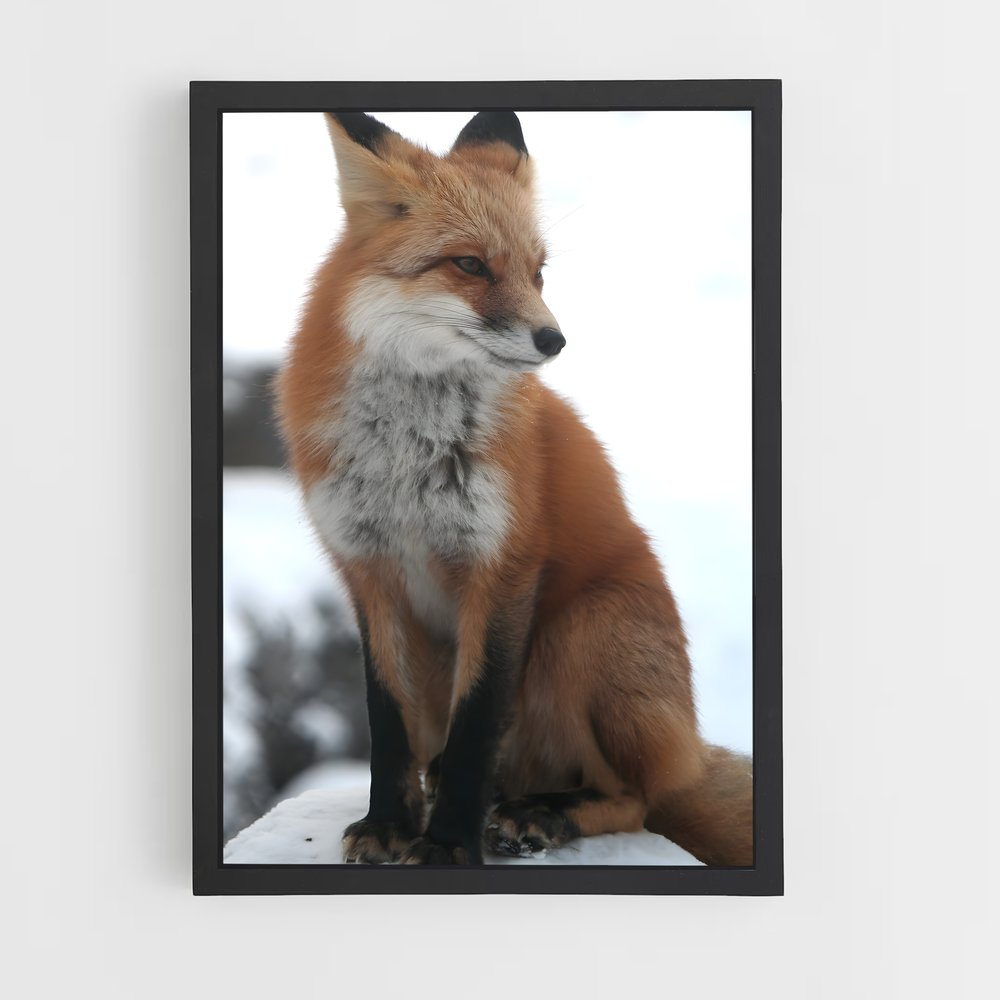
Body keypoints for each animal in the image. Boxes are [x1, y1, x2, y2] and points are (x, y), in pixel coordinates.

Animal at [275, 110, 753, 866]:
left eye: (539, 272)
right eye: (470, 264)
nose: (554, 339)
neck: (408, 460)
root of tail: (689, 751)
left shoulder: (501, 568)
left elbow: (476, 728)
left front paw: (446, 847)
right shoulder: (369, 571)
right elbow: (388, 723)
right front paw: (390, 825)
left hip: (581, 630)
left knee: (634, 797)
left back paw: (540, 814)